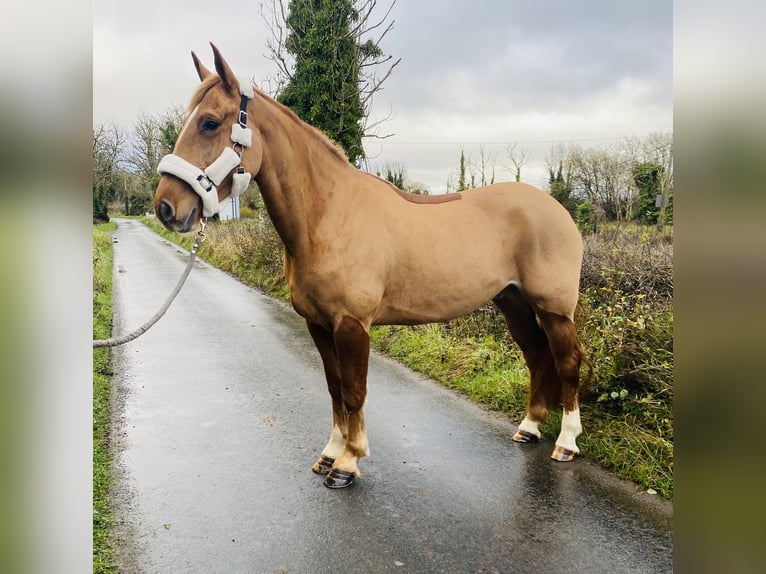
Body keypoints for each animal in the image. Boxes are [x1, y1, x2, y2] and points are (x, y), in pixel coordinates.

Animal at [152, 44, 592, 490]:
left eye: (209, 122)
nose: (166, 208)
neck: (328, 214)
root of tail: (557, 210)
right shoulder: (318, 324)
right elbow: (334, 388)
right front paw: (330, 453)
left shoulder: (351, 325)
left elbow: (353, 391)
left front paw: (349, 462)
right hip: (512, 302)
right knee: (537, 356)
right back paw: (530, 428)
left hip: (554, 309)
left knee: (567, 361)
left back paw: (566, 443)